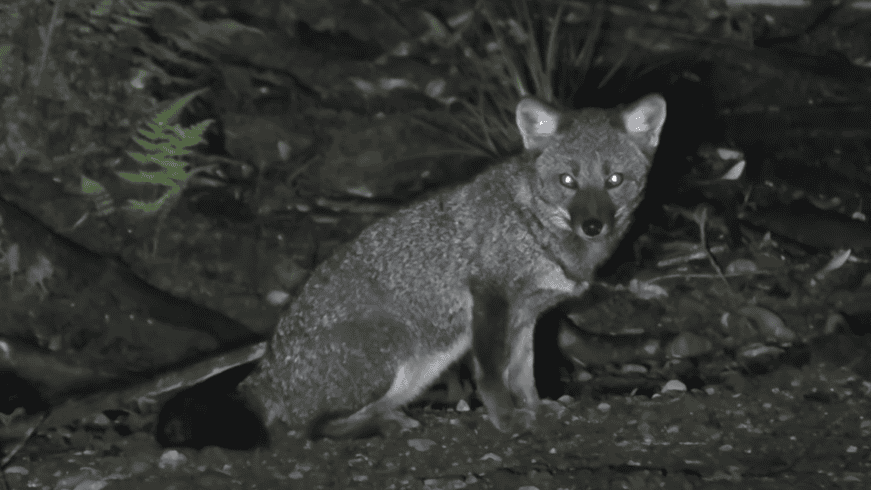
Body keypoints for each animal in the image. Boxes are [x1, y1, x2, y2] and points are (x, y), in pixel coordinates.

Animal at [237, 93, 667, 438]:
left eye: (615, 180)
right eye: (567, 181)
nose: (592, 225)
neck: (533, 227)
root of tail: (263, 375)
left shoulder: (527, 315)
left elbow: (523, 373)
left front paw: (534, 408)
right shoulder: (491, 297)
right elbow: (492, 373)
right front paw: (506, 420)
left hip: (415, 374)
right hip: (393, 349)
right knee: (307, 429)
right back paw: (382, 425)